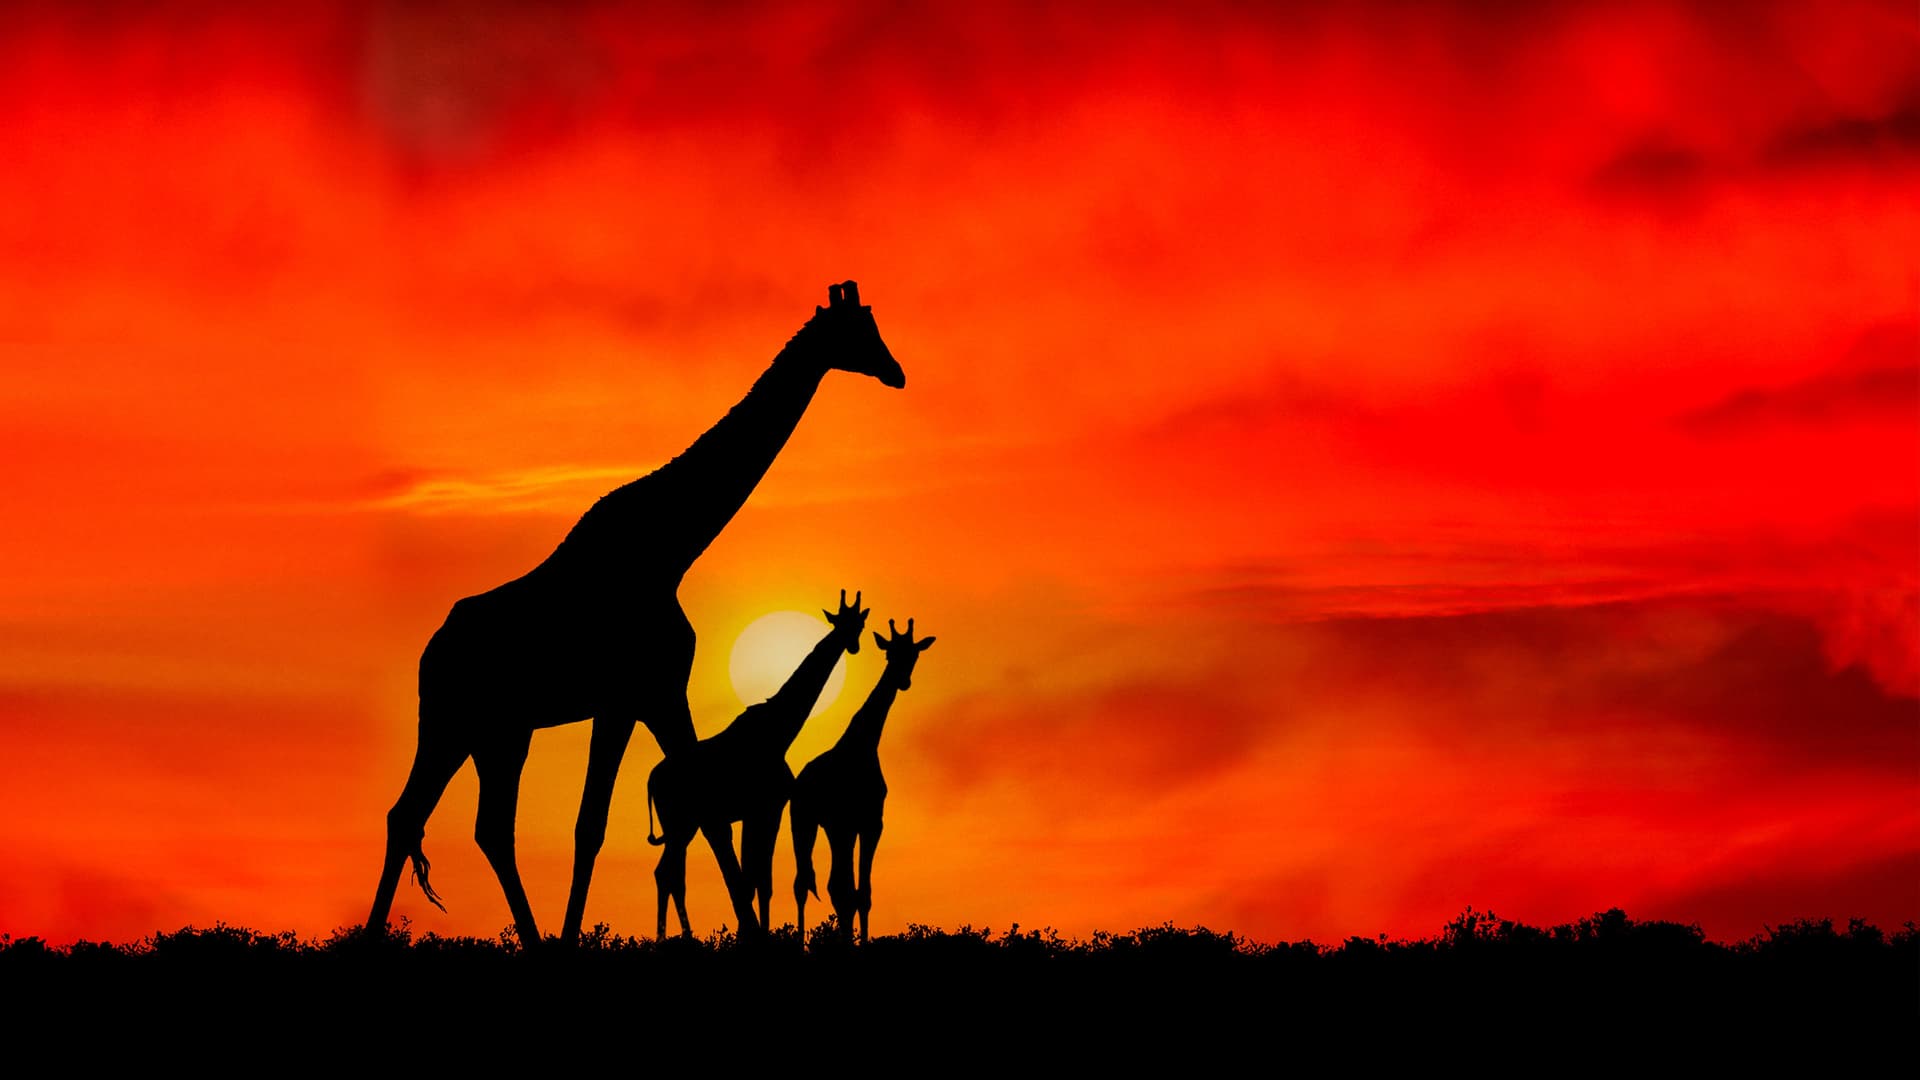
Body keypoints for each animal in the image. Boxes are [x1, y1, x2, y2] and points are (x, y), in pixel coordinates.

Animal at [644, 591, 867, 938]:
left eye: (859, 624)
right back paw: (676, 937)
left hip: (683, 825)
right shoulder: (767, 808)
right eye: (843, 623)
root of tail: (651, 780)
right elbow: (760, 879)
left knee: (668, 873)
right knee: (667, 873)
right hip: (681, 824)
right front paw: (755, 935)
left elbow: (757, 879)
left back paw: (675, 936)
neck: (778, 732)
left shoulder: (759, 812)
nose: (853, 645)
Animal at [790, 618, 934, 943]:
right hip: (804, 822)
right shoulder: (844, 823)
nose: (902, 681)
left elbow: (862, 893)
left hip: (832, 829)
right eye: (889, 653)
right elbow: (847, 892)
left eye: (914, 655)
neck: (863, 746)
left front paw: (861, 943)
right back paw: (800, 944)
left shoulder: (870, 823)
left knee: (830, 885)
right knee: (803, 884)